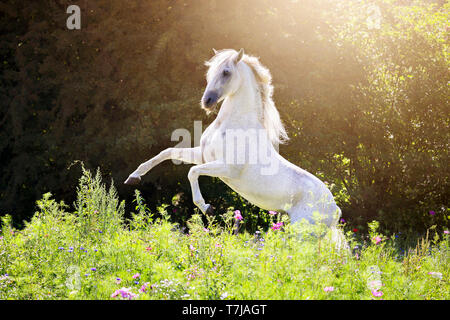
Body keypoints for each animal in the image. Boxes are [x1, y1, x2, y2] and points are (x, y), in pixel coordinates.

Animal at [125, 48, 342, 238]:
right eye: (210, 72)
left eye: (226, 72)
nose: (207, 101)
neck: (232, 124)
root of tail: (335, 208)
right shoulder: (203, 156)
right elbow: (167, 152)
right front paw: (133, 177)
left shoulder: (227, 169)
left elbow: (192, 172)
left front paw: (208, 209)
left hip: (303, 234)